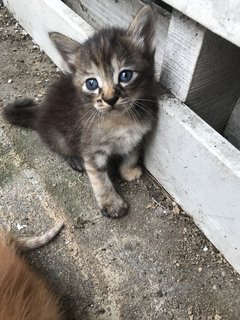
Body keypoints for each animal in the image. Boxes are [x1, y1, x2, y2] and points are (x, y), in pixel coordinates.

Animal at [3, 6, 159, 219]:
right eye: (91, 83)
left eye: (125, 75)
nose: (110, 99)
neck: (120, 120)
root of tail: (40, 112)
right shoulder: (92, 149)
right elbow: (100, 179)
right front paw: (111, 203)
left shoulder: (136, 136)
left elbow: (131, 154)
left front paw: (129, 171)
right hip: (59, 135)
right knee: (59, 147)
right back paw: (75, 159)